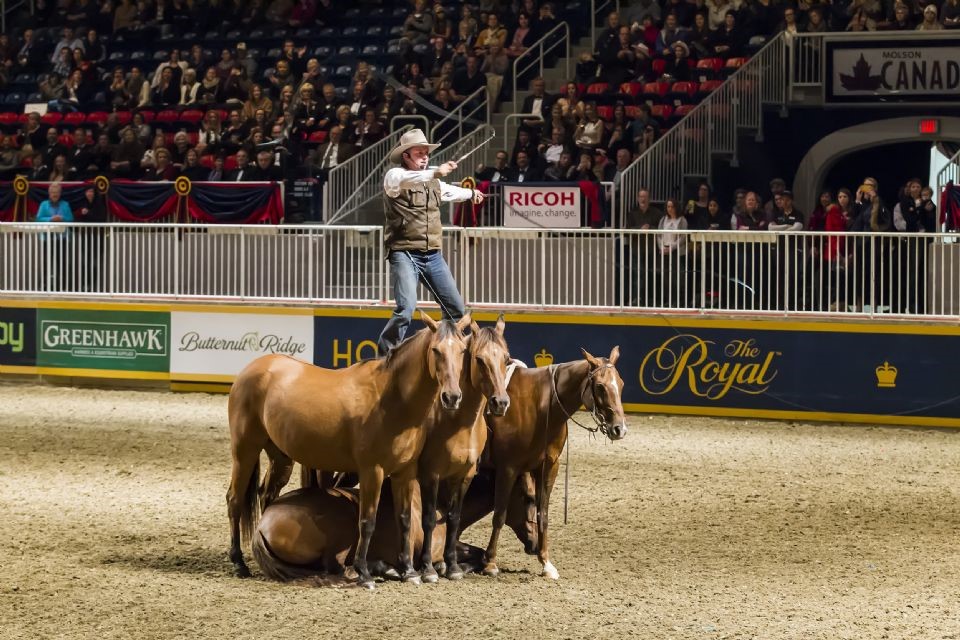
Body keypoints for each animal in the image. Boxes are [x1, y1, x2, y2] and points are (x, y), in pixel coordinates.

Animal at [232, 312, 472, 588]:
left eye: (463, 351)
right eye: (436, 350)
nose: (452, 397)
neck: (391, 399)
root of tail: (254, 367)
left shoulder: (405, 472)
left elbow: (405, 520)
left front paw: (409, 571)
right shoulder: (372, 472)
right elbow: (367, 522)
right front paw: (365, 574)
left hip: (280, 457)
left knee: (265, 495)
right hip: (244, 450)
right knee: (234, 500)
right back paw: (238, 562)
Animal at [251, 468, 536, 584]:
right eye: (528, 496)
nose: (534, 544)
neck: (440, 503)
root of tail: (263, 523)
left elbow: (475, 552)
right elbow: (471, 556)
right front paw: (445, 568)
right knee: (338, 567)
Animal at [416, 318, 512, 584]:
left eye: (506, 358)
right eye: (479, 359)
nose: (500, 402)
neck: (456, 422)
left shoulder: (463, 476)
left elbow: (454, 518)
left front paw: (451, 565)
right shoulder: (431, 475)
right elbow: (429, 519)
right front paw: (428, 568)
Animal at [480, 348, 632, 584]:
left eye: (622, 384)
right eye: (599, 386)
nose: (619, 429)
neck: (540, 407)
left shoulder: (548, 468)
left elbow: (542, 514)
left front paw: (546, 563)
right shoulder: (508, 468)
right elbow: (500, 515)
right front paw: (490, 563)